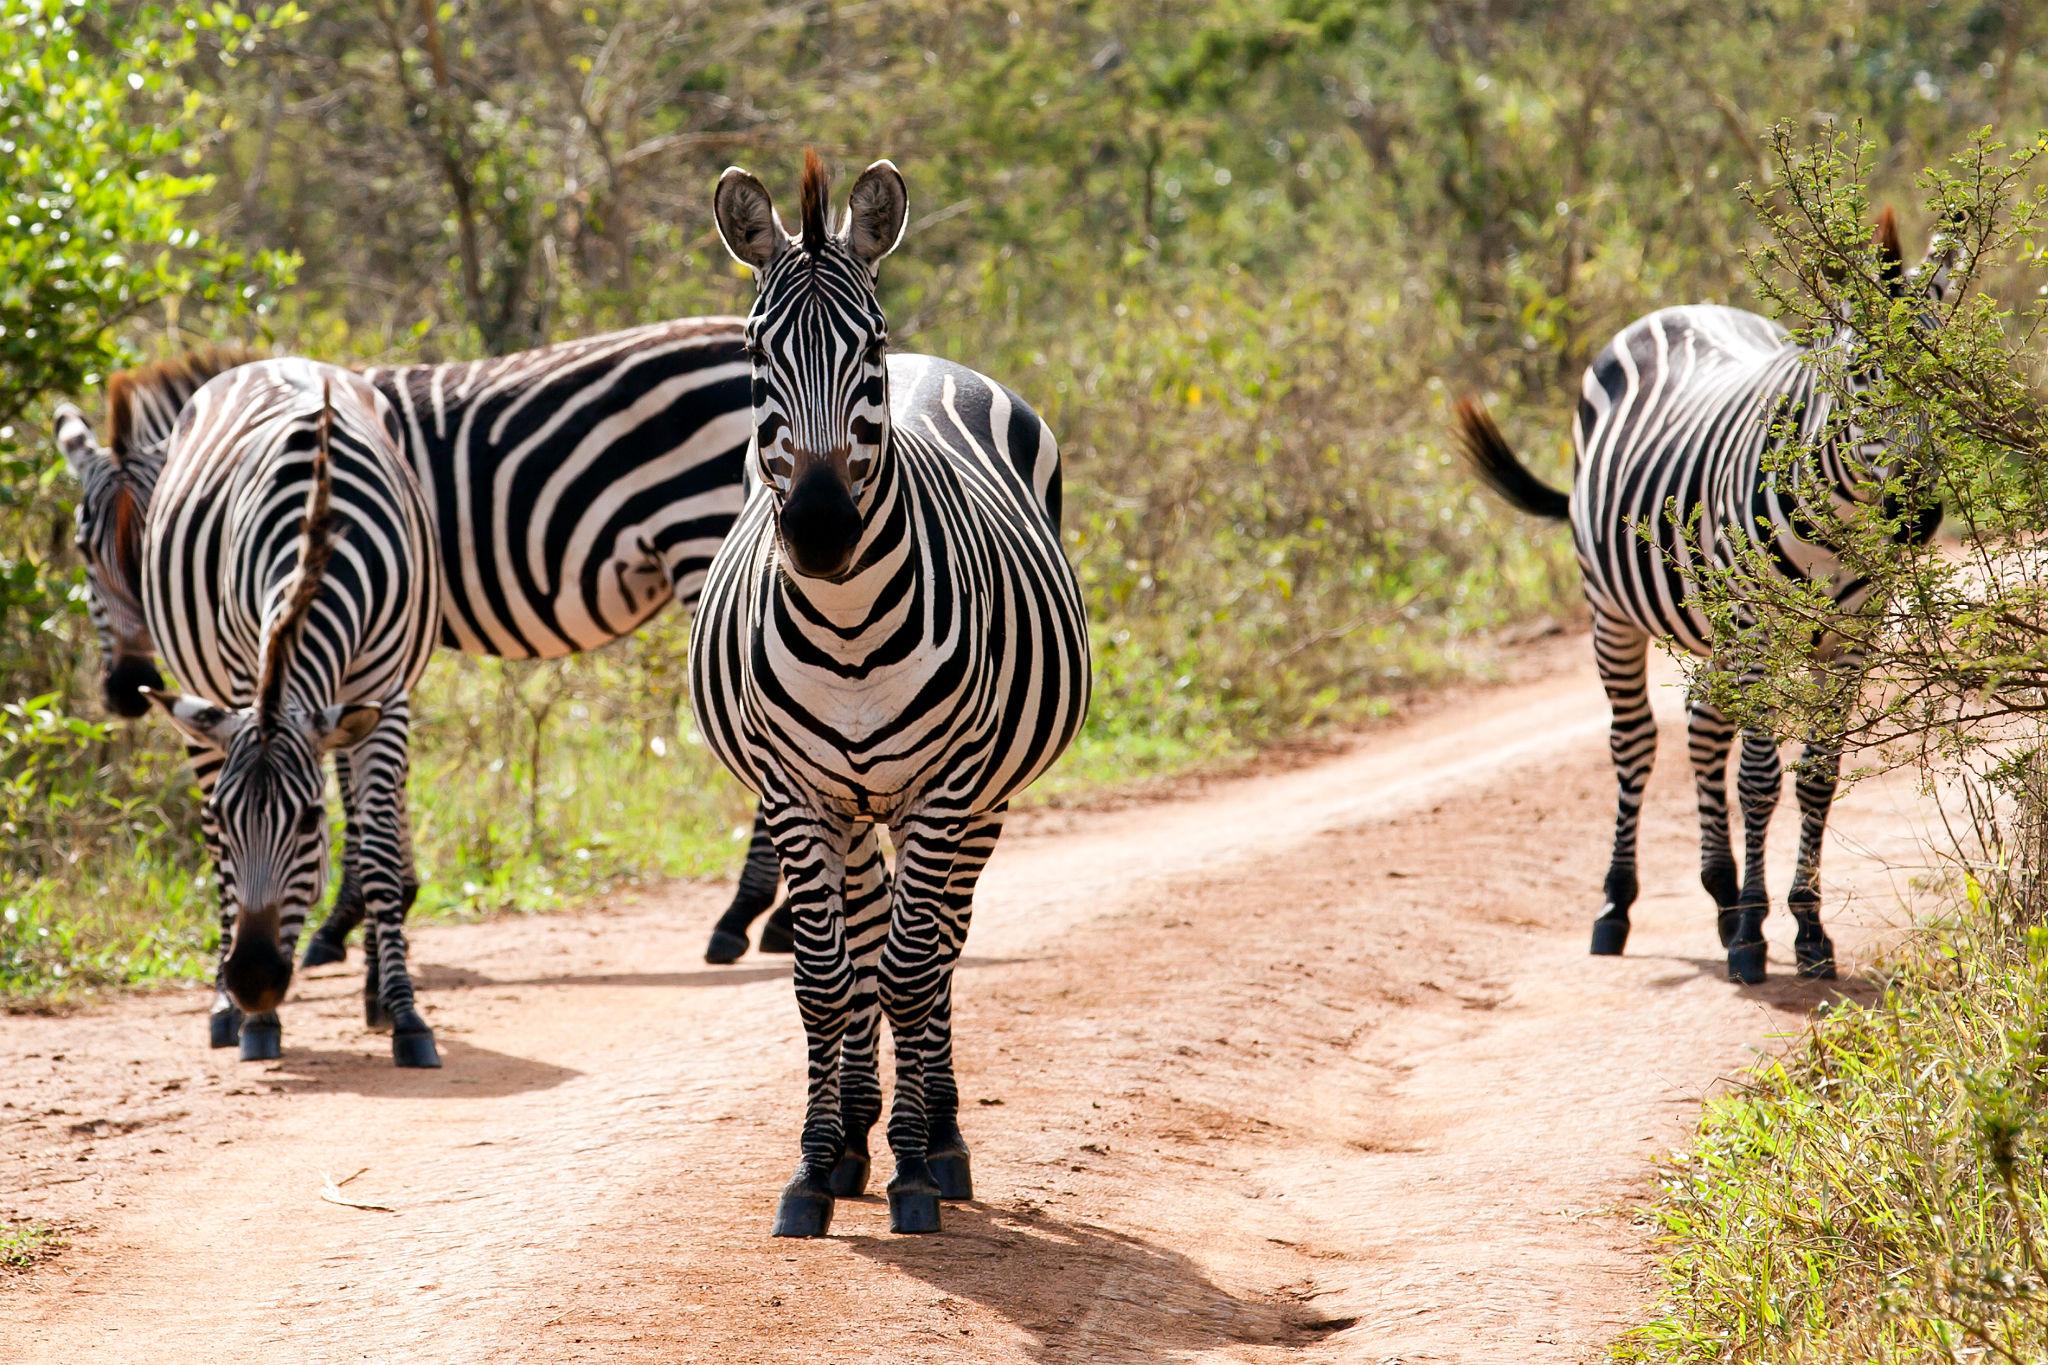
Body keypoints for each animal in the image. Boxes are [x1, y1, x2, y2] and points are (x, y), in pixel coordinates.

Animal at [54, 322, 797, 990]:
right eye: (86, 550)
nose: (128, 687)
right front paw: (389, 900)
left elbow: (354, 784)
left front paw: (344, 920)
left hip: (706, 542)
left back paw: (744, 917)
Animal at [140, 358, 445, 1066]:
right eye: (228, 822)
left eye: (309, 822)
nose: (253, 982)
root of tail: (277, 360)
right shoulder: (238, 679)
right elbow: (224, 866)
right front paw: (255, 1021)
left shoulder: (387, 693)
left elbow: (379, 851)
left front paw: (406, 1014)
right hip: (198, 698)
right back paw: (225, 1012)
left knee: (367, 820)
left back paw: (374, 992)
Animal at [691, 151, 1090, 1237]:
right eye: (755, 352)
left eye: (865, 346)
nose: (821, 531)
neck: (848, 628)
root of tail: (936, 364)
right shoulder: (795, 794)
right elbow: (828, 980)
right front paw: (813, 1164)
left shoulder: (945, 788)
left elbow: (913, 971)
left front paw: (915, 1167)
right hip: (855, 803)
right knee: (870, 941)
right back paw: (855, 1137)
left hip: (977, 798)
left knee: (941, 944)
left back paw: (938, 1136)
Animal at [1453, 212, 1951, 984]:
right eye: (1860, 378)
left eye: (1941, 370)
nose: (1917, 514)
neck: (1838, 519)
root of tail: (1674, 310)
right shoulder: (1755, 630)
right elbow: (1759, 780)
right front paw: (1754, 935)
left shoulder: (1851, 638)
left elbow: (1816, 776)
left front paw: (1806, 929)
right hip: (1611, 608)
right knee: (1635, 739)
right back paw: (1619, 906)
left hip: (1713, 628)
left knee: (1701, 725)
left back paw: (1720, 896)